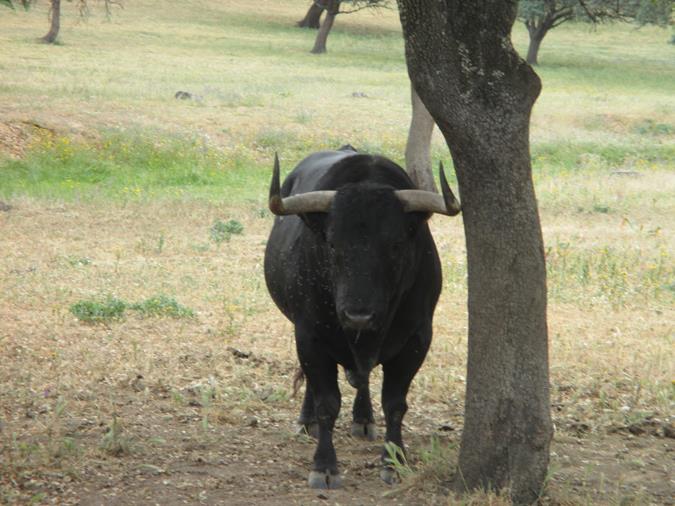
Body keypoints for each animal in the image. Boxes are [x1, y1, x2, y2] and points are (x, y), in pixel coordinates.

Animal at [262, 148, 460, 488]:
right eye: (331, 242)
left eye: (395, 244)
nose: (358, 315)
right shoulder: (309, 336)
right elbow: (327, 402)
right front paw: (324, 466)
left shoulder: (417, 339)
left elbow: (395, 404)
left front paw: (394, 462)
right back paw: (306, 421)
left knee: (363, 378)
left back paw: (363, 419)